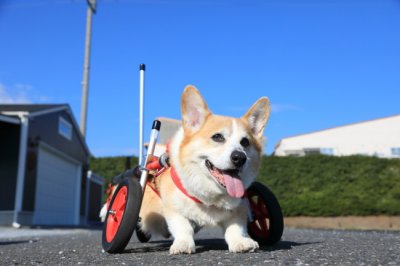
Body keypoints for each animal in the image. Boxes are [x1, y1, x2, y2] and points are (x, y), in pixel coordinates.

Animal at [103, 85, 272, 254]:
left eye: (245, 142)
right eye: (217, 137)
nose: (240, 157)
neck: (209, 196)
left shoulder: (239, 208)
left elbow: (236, 227)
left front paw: (241, 241)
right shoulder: (173, 209)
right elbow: (183, 226)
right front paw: (183, 244)